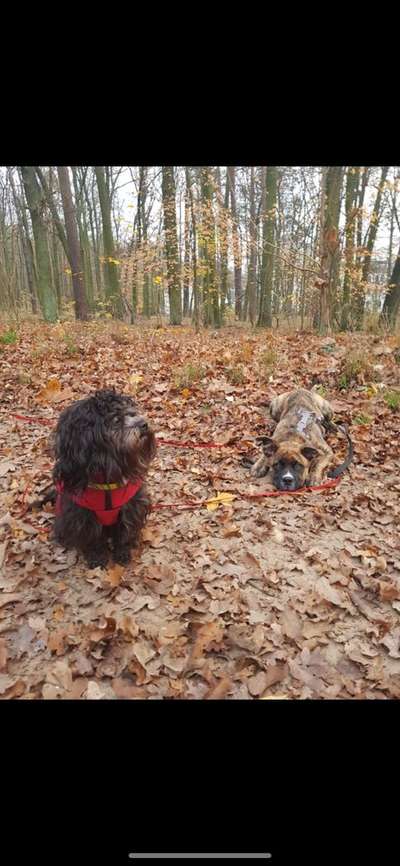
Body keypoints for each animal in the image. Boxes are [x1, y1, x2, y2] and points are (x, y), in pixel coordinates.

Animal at [54, 390, 157, 568]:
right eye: (116, 420)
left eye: (130, 413)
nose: (144, 424)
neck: (107, 482)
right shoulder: (83, 516)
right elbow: (93, 539)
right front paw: (97, 557)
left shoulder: (131, 508)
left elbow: (124, 534)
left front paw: (122, 553)